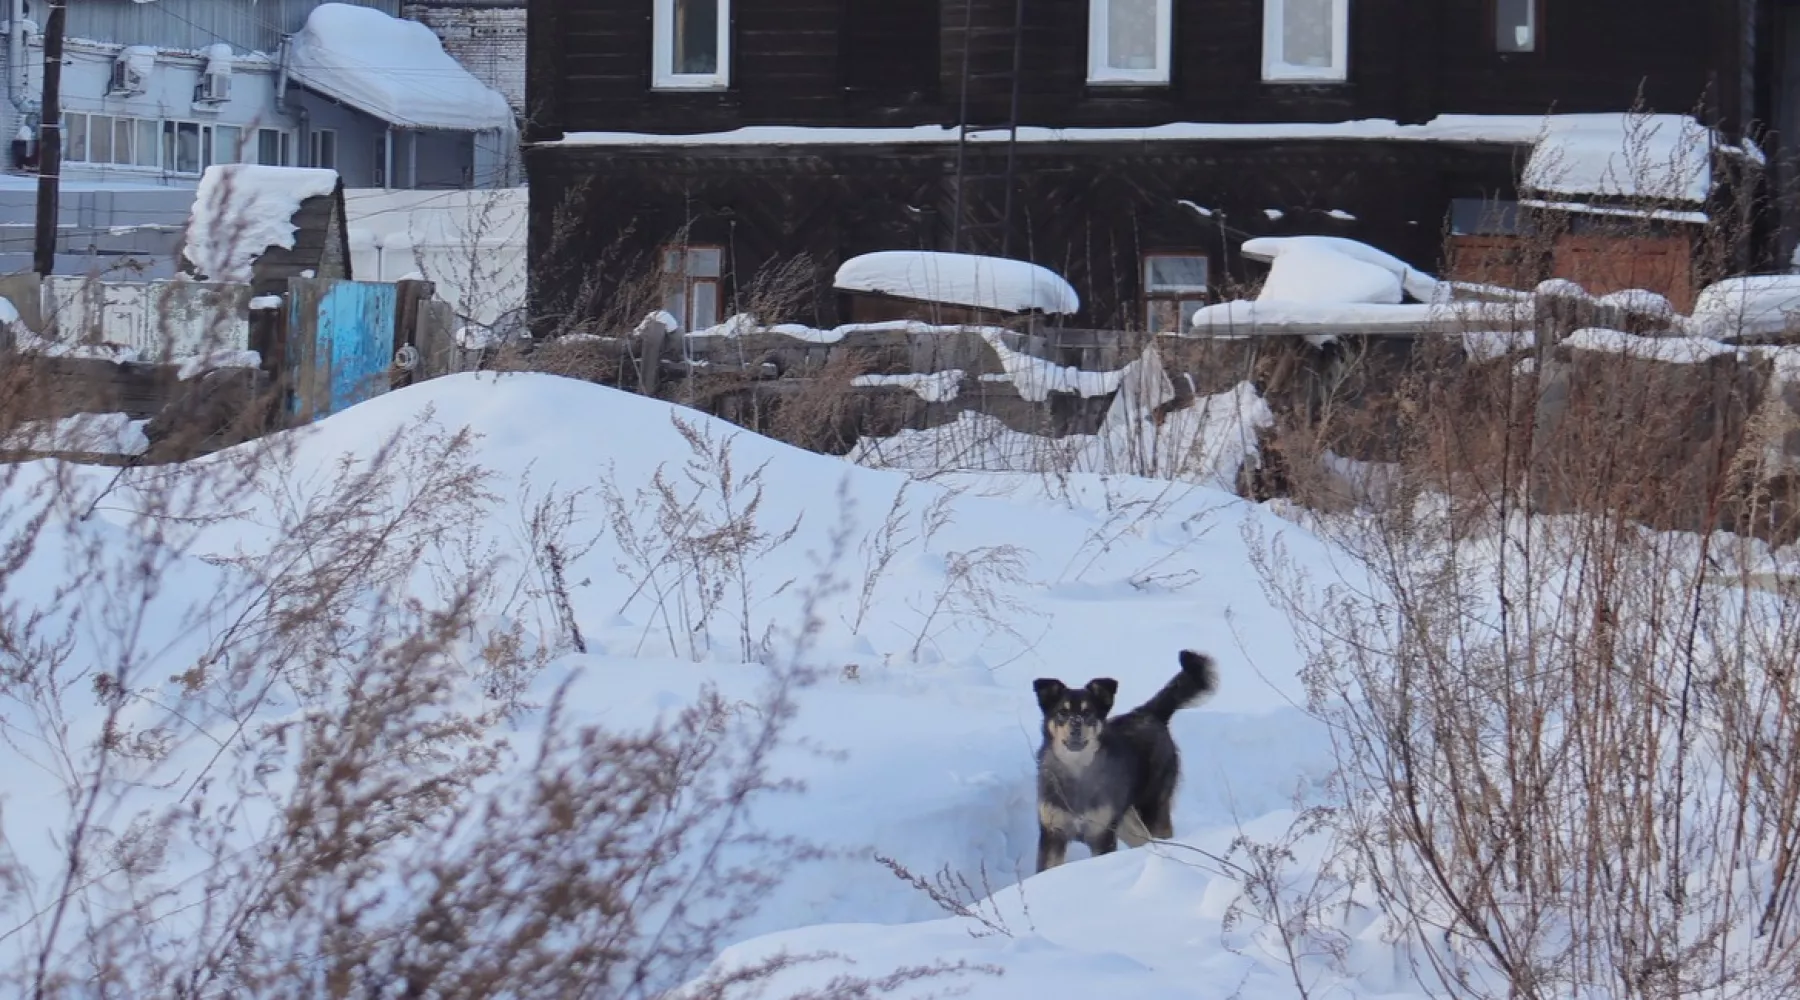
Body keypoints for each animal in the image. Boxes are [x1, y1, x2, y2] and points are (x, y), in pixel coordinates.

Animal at [1036, 651, 1216, 870]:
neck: (1077, 771)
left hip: (1152, 806)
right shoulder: (1053, 833)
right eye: (1062, 711)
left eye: (1088, 712)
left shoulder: (1102, 835)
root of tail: (1148, 713)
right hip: (1126, 819)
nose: (1075, 726)